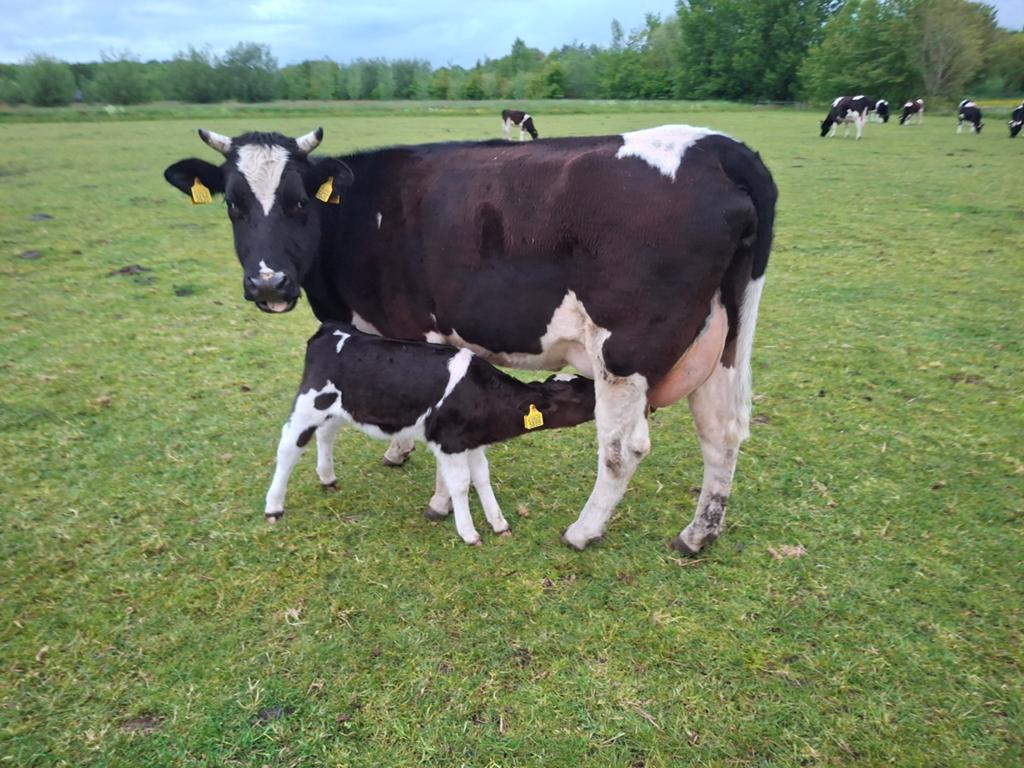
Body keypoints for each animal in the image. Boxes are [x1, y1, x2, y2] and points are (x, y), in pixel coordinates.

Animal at [265, 322, 596, 545]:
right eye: (579, 394)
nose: (598, 387)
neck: (483, 394)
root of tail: (332, 329)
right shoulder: (448, 441)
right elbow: (460, 485)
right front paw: (469, 532)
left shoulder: (472, 441)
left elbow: (482, 478)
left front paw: (499, 523)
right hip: (309, 403)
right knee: (289, 447)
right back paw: (274, 506)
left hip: (339, 405)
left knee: (326, 433)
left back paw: (327, 477)